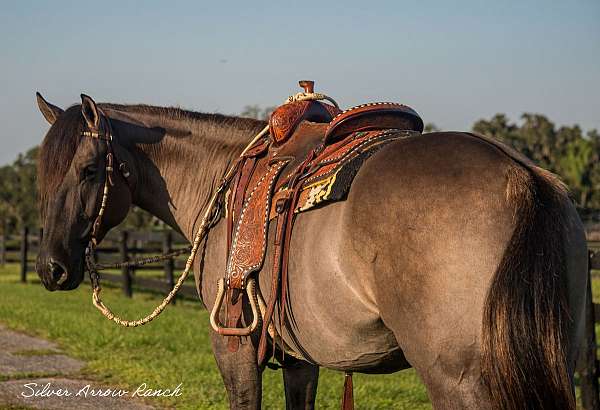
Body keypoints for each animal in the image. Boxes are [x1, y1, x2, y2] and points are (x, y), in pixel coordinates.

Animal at [34, 93, 584, 410]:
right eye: (43, 175)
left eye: (88, 171)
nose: (50, 269)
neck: (220, 177)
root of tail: (520, 174)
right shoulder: (302, 357)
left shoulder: (233, 347)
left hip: (460, 381)